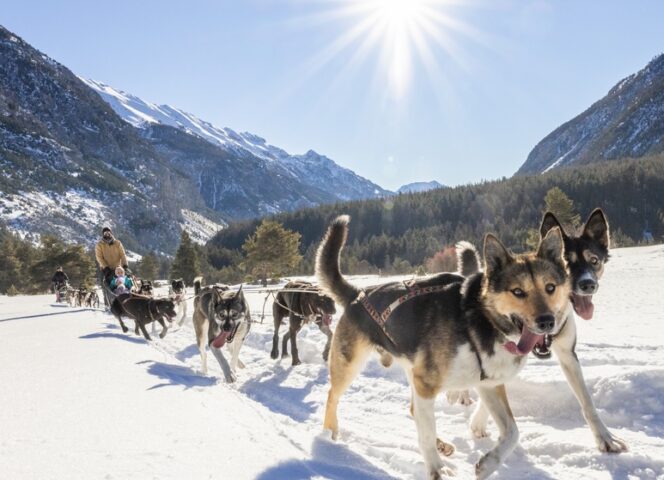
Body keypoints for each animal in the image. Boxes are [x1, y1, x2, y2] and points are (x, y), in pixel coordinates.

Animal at [316, 217, 572, 480]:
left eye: (550, 287)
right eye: (518, 292)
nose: (547, 321)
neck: (479, 320)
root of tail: (357, 294)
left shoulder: (487, 384)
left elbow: (513, 432)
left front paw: (487, 464)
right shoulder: (427, 384)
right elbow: (426, 435)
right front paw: (436, 469)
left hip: (412, 372)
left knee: (414, 410)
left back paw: (442, 445)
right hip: (351, 365)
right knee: (332, 396)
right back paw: (329, 434)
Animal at [464, 210, 624, 454]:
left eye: (594, 261)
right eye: (566, 262)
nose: (588, 284)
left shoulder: (568, 355)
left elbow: (587, 401)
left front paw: (604, 437)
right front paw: (479, 421)